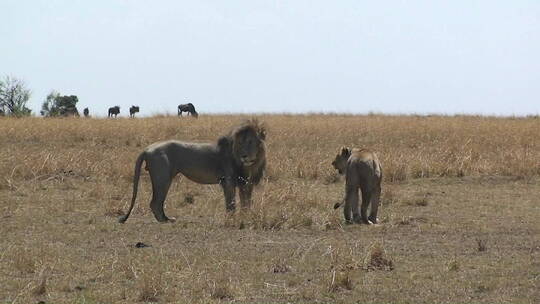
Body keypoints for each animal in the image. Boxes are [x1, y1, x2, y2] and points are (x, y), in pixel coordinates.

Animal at [118, 119, 266, 223]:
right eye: (240, 143)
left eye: (251, 142)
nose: (244, 156)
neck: (249, 165)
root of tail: (147, 149)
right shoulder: (227, 181)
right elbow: (231, 204)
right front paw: (232, 219)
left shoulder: (246, 183)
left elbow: (246, 202)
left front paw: (246, 216)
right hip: (163, 178)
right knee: (155, 203)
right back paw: (166, 220)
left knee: (157, 202)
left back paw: (166, 219)